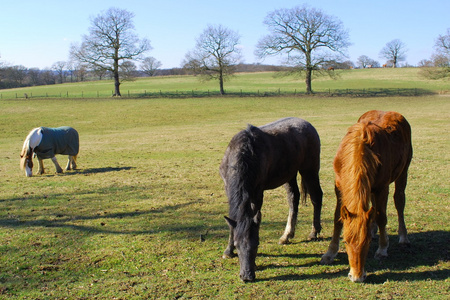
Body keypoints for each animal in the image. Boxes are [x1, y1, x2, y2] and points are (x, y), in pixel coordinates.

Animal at [219, 117, 322, 282]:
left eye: (257, 244)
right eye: (237, 244)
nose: (247, 276)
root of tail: (308, 124)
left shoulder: (258, 192)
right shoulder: (228, 188)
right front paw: (228, 251)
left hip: (309, 170)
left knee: (316, 197)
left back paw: (314, 232)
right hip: (290, 174)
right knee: (293, 198)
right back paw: (287, 235)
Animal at [320, 110, 412, 282]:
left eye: (367, 242)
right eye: (346, 240)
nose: (357, 276)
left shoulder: (382, 187)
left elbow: (382, 217)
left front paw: (382, 249)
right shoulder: (339, 188)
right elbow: (338, 219)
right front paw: (330, 253)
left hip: (403, 172)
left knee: (399, 201)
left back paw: (403, 237)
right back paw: (374, 228)